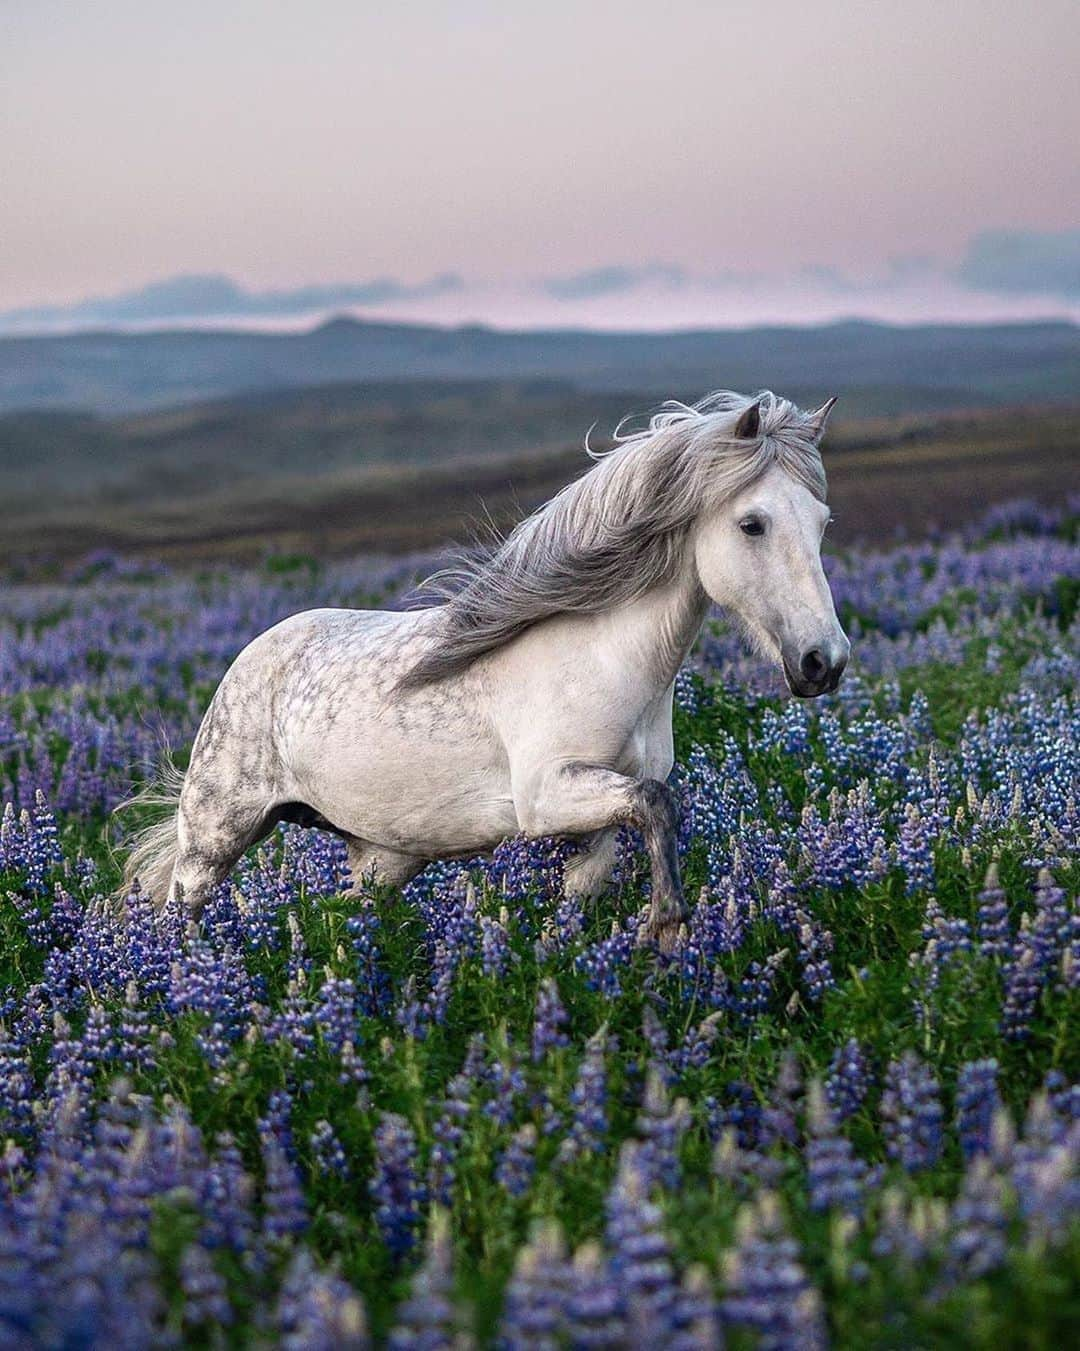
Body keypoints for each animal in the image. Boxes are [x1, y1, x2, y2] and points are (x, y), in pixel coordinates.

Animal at [124, 386, 854, 945]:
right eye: (752, 524)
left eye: (824, 522)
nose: (823, 662)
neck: (608, 659)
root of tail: (248, 659)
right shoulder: (547, 795)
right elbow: (658, 805)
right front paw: (667, 926)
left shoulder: (594, 819)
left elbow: (599, 873)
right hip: (214, 838)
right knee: (174, 917)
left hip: (385, 857)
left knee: (344, 915)